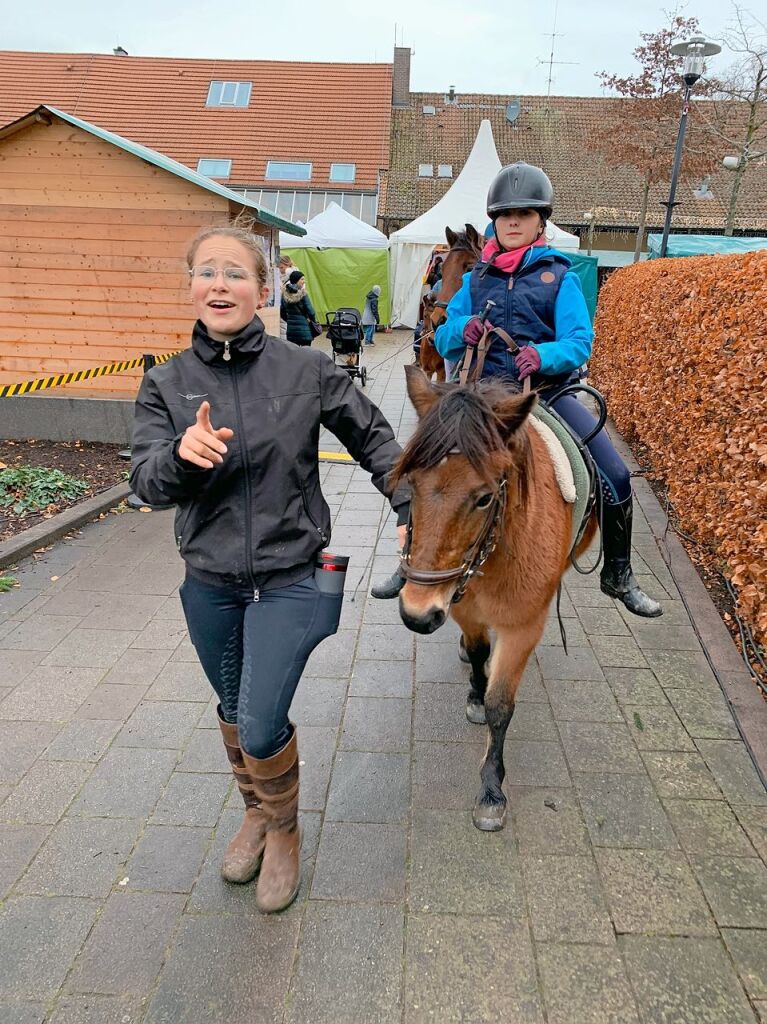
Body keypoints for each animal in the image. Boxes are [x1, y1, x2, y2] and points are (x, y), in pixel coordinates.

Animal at [391, 368, 593, 831]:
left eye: (484, 497)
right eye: (411, 484)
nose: (417, 614)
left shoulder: (522, 626)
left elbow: (501, 705)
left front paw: (491, 789)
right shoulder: (463, 609)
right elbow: (481, 657)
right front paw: (474, 692)